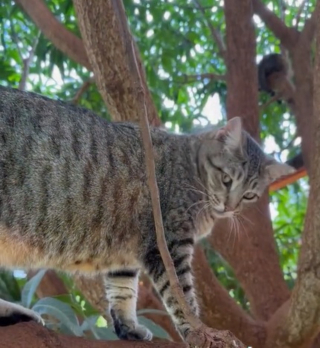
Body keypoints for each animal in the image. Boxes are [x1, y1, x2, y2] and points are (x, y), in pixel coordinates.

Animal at [0, 86, 292, 340]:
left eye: (249, 195)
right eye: (227, 179)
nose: (230, 207)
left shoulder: (125, 255)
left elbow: (123, 290)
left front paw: (128, 326)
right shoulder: (169, 245)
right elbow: (182, 296)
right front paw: (198, 332)